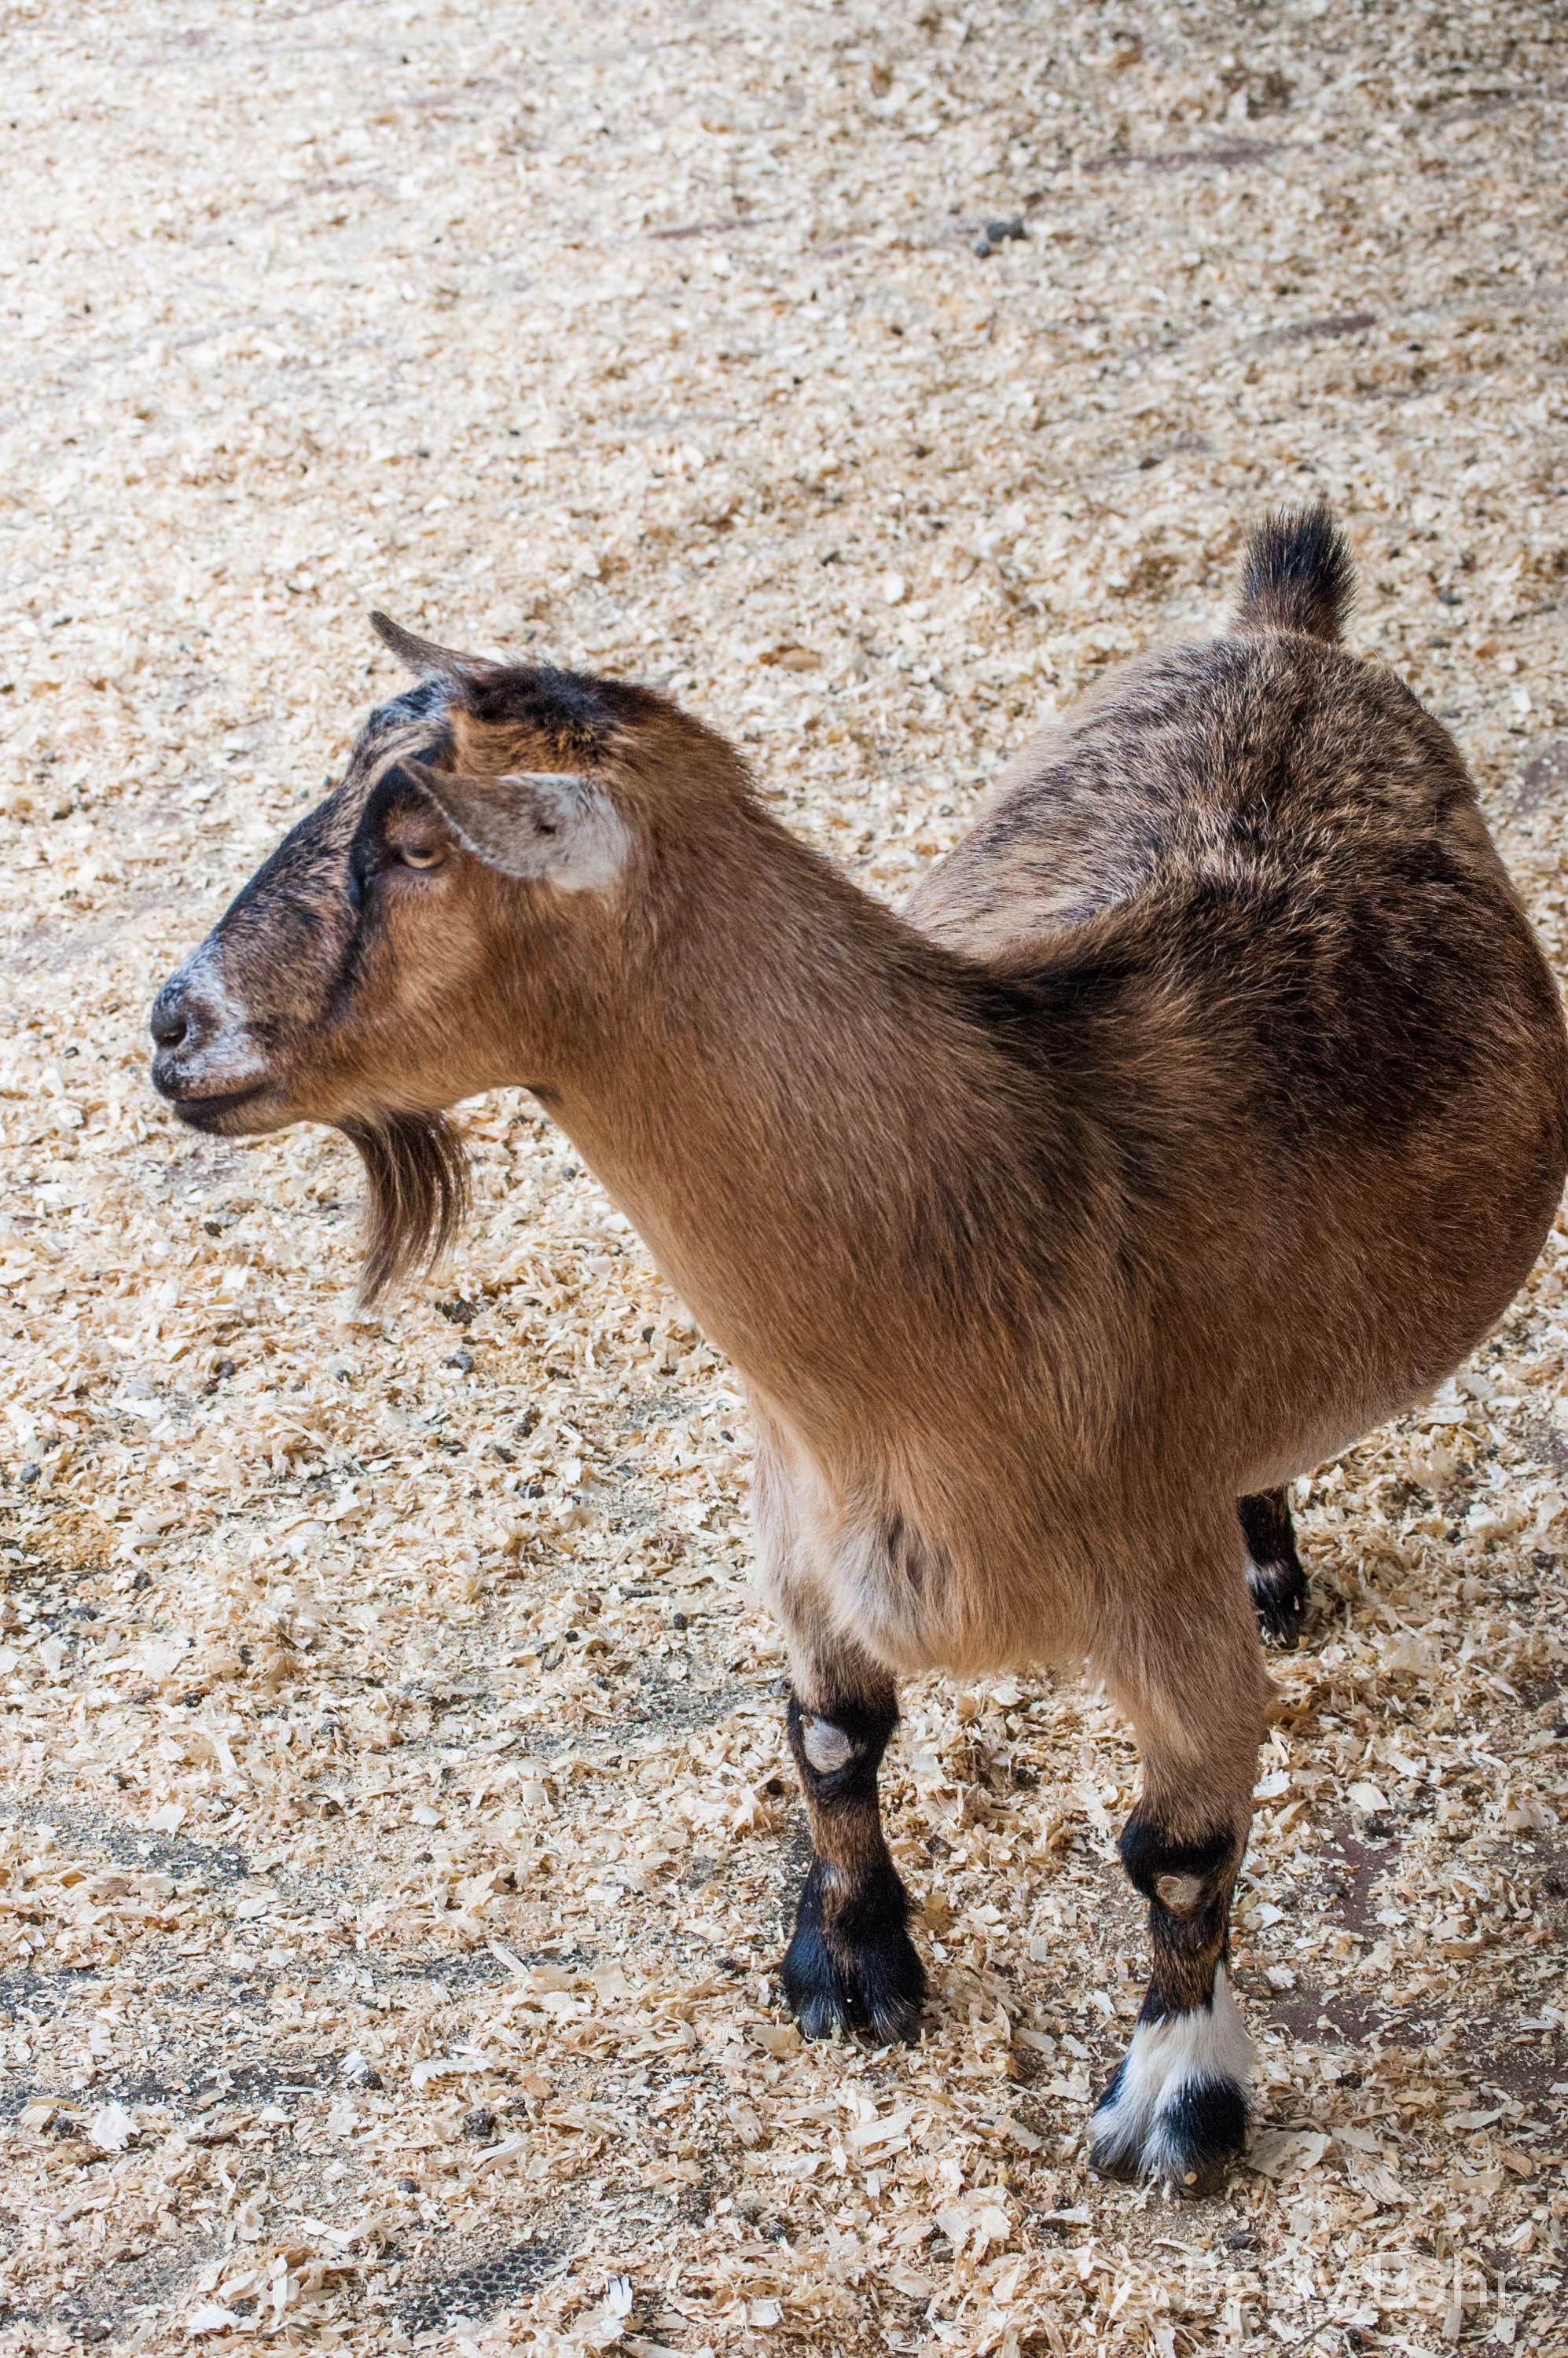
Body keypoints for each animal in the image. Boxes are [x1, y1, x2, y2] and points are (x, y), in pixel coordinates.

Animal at [149, 509, 1568, 2196]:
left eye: (420, 845)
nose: (174, 1027)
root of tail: (1280, 632)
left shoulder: (1156, 1584)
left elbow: (1179, 1850)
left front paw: (1174, 2108)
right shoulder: (803, 1529)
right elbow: (833, 1735)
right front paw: (854, 1968)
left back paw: (1276, 1571)